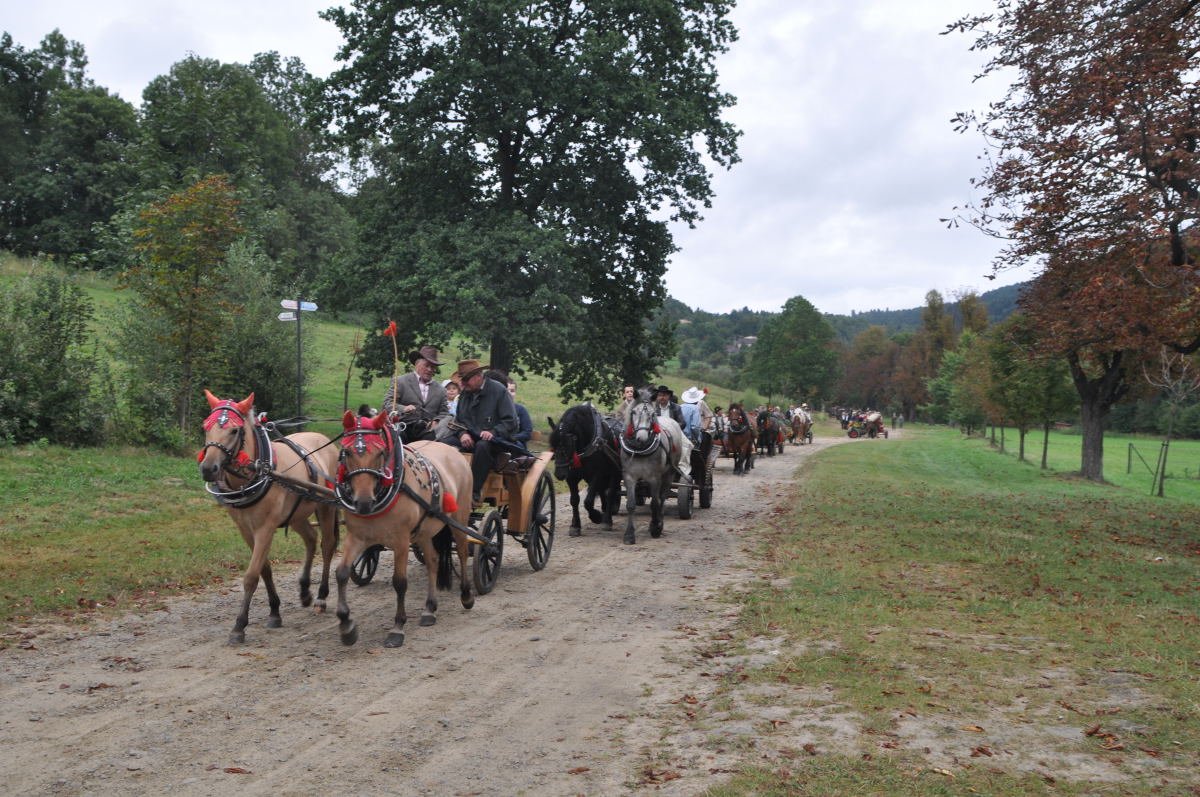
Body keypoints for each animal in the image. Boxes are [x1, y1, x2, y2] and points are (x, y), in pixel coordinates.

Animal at [197, 390, 339, 644]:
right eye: (206, 426)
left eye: (234, 430)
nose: (208, 468)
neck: (258, 472)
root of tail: (323, 439)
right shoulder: (245, 529)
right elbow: (265, 569)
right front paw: (274, 611)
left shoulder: (265, 528)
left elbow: (252, 575)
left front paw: (239, 625)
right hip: (297, 514)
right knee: (311, 538)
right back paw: (305, 590)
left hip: (326, 507)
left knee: (327, 545)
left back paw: (321, 596)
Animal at [333, 410, 474, 648]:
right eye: (347, 452)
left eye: (380, 452)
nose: (363, 503)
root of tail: (452, 451)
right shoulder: (357, 537)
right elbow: (341, 573)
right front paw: (346, 626)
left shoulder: (400, 540)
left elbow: (399, 582)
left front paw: (397, 627)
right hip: (425, 530)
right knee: (433, 560)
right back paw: (429, 609)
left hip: (459, 517)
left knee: (463, 552)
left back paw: (466, 595)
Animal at [548, 403, 622, 537]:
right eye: (553, 446)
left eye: (569, 445)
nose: (559, 474)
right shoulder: (571, 477)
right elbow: (574, 500)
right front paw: (575, 525)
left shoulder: (597, 474)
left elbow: (588, 501)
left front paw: (596, 517)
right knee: (603, 492)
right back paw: (604, 510)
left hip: (615, 473)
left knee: (610, 493)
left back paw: (607, 520)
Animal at [619, 397, 683, 545]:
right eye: (633, 412)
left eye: (652, 414)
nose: (641, 438)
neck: (640, 450)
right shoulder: (629, 476)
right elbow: (631, 505)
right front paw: (629, 535)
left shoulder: (655, 478)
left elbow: (655, 503)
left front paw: (655, 527)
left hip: (669, 474)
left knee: (663, 498)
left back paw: (660, 522)